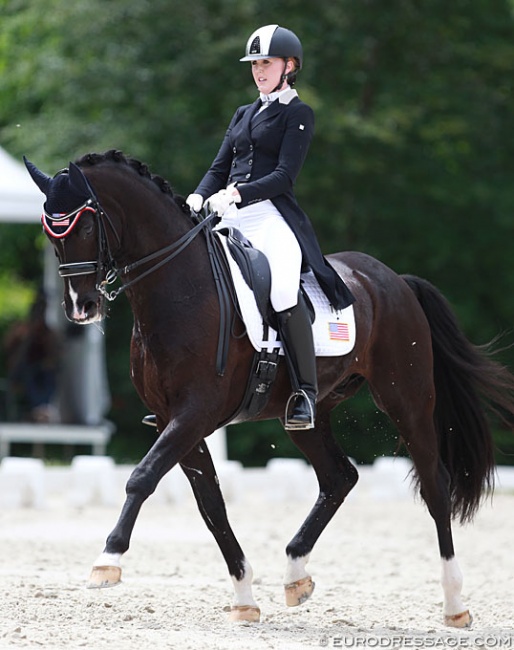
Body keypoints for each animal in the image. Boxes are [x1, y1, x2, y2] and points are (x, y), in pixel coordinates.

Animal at [26, 149, 512, 624]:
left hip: (407, 399)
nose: (81, 307)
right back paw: (296, 575)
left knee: (434, 485)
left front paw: (107, 561)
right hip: (308, 413)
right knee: (339, 477)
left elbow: (142, 478)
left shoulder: (194, 414)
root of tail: (392, 279)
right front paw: (244, 597)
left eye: (87, 224)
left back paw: (455, 604)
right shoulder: (172, 420)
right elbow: (211, 505)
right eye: (51, 233)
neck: (181, 290)